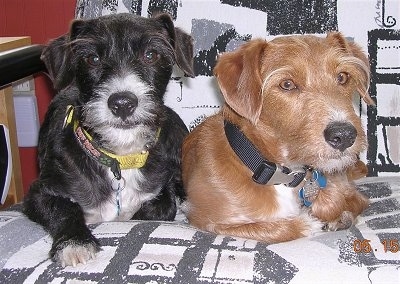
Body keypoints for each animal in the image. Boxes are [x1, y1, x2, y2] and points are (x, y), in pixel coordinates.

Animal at [23, 12, 195, 266]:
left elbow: (161, 206)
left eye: (151, 55)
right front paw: (74, 242)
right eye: (92, 59)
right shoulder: (37, 193)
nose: (122, 103)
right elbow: (64, 208)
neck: (121, 158)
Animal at [183, 32, 374, 243]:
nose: (344, 135)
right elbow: (271, 227)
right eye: (287, 84)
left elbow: (346, 202)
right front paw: (310, 223)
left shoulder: (352, 194)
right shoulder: (205, 218)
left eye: (342, 77)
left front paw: (336, 215)